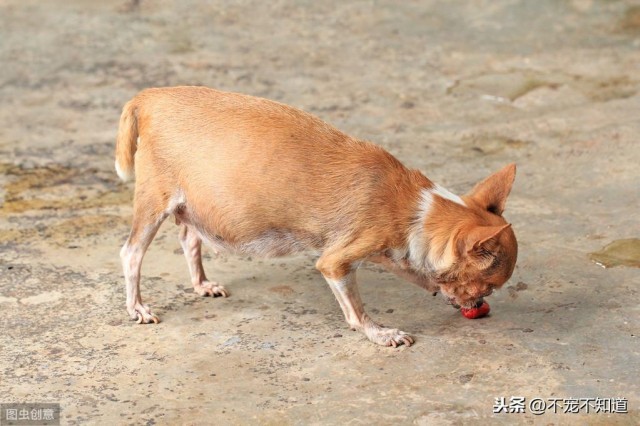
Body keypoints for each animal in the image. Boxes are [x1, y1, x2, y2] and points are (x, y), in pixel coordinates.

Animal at [114, 85, 516, 346]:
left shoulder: (389, 254)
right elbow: (356, 310)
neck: (415, 208)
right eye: (487, 288)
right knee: (131, 253)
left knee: (188, 237)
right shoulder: (336, 262)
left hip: (196, 204)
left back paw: (201, 284)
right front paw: (379, 333)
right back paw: (137, 307)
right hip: (154, 203)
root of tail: (149, 96)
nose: (478, 306)